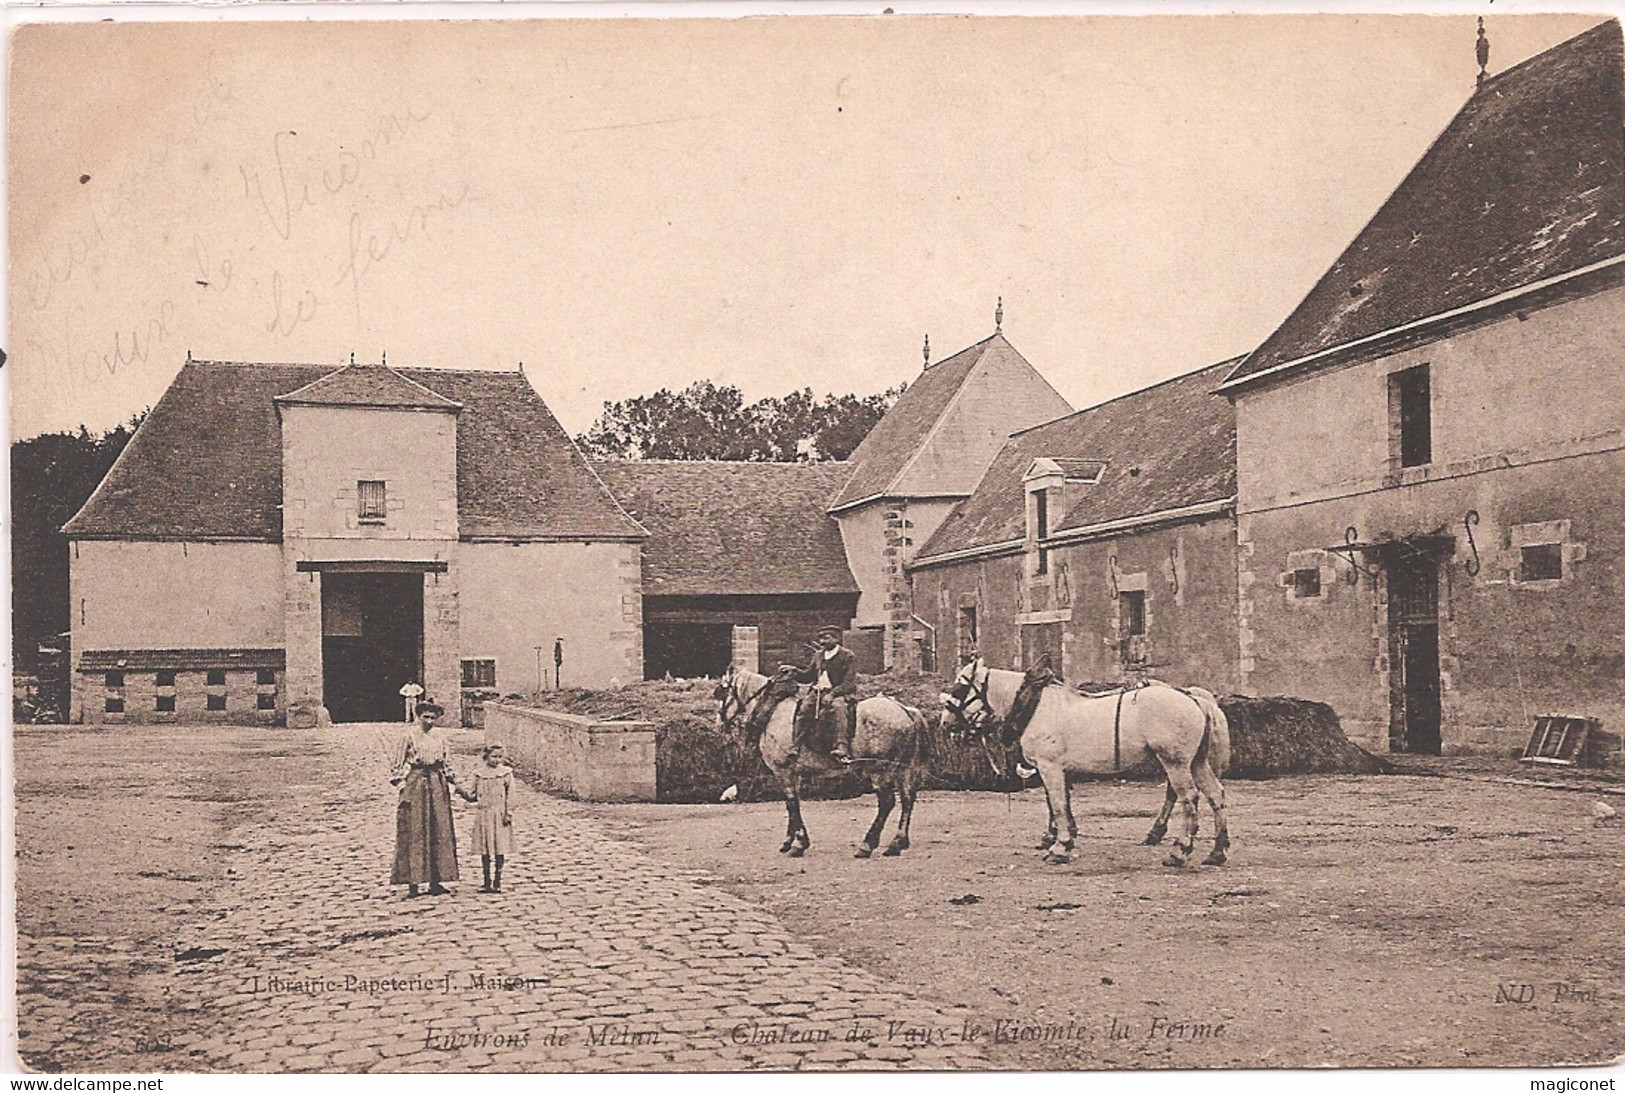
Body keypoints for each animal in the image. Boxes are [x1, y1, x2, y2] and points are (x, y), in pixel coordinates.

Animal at [718, 665, 936, 864]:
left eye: (721, 691)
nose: (720, 724)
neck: (775, 711)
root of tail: (904, 709)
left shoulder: (784, 771)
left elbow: (792, 803)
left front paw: (799, 843)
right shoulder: (794, 773)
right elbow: (792, 805)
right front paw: (789, 840)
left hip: (879, 769)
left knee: (887, 803)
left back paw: (867, 845)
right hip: (902, 768)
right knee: (907, 799)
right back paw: (897, 843)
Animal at [942, 656, 1228, 870]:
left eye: (959, 688)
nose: (945, 723)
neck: (1034, 706)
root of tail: (1193, 698)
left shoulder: (1049, 766)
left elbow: (1058, 805)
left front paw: (1059, 847)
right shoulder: (1059, 769)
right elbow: (1062, 804)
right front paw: (1065, 840)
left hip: (1175, 761)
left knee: (1188, 798)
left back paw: (1179, 850)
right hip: (1196, 762)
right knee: (1215, 795)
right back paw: (1217, 851)